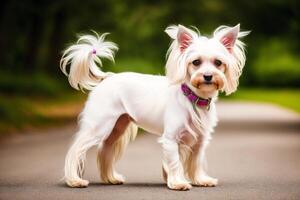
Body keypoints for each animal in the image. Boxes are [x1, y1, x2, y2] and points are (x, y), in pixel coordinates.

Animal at [59, 23, 247, 191]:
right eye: (196, 62)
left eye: (218, 62)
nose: (208, 76)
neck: (192, 98)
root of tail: (108, 78)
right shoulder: (170, 139)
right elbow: (175, 163)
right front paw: (178, 183)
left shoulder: (200, 141)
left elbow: (196, 162)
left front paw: (200, 180)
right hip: (99, 126)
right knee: (75, 150)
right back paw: (74, 180)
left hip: (117, 127)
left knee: (105, 149)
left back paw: (110, 178)